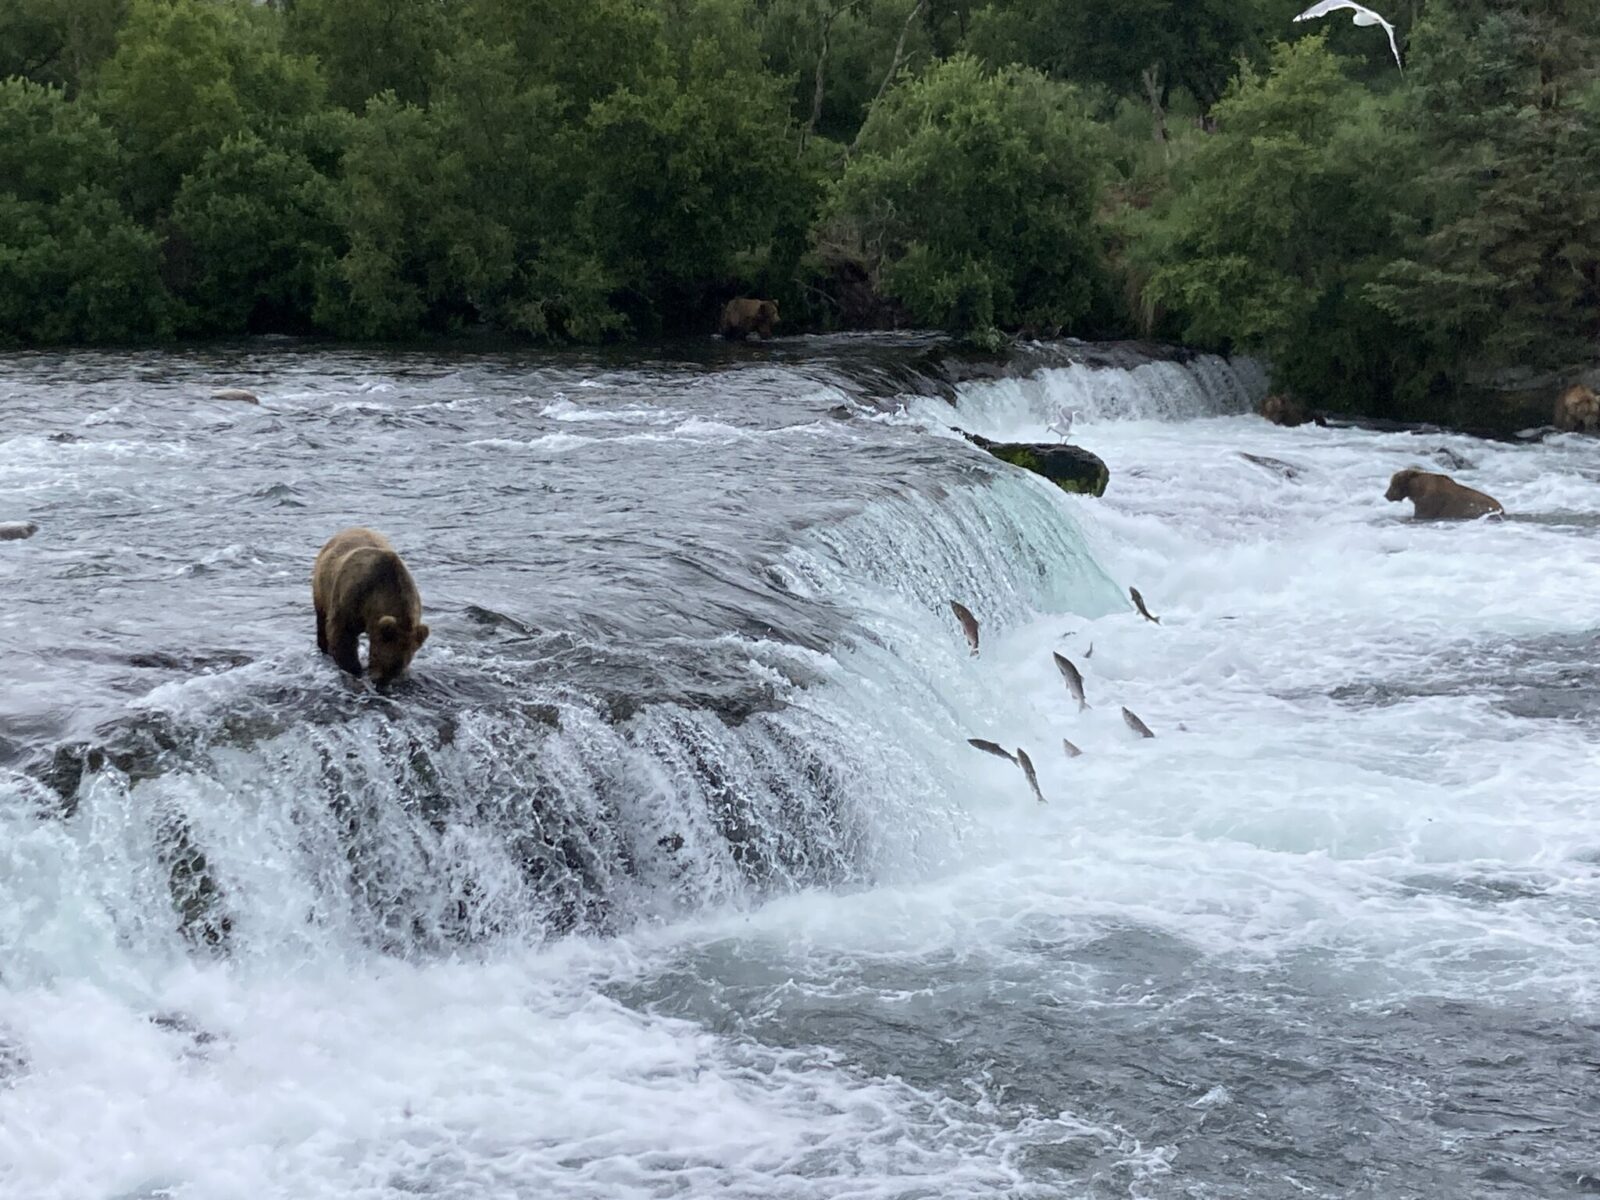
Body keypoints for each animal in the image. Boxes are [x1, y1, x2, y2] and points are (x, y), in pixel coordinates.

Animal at [307, 528, 425, 684]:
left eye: (400, 667)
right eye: (377, 656)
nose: (380, 683)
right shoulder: (351, 598)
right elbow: (342, 635)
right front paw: (354, 668)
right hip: (322, 587)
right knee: (321, 619)